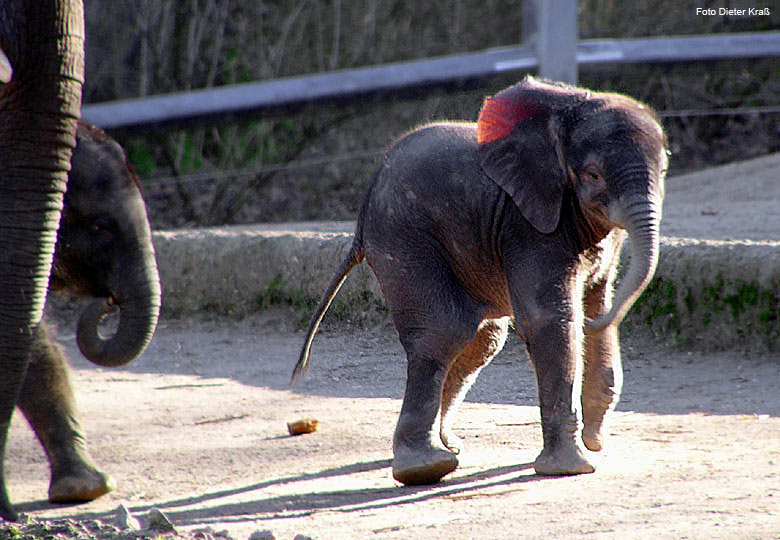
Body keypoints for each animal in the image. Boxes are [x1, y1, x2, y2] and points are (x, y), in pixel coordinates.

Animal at [292, 76, 672, 486]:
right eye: (593, 176)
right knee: (443, 332)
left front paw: (595, 441)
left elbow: (598, 301)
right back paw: (426, 467)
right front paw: (571, 467)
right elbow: (550, 322)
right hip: (403, 238)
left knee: (482, 340)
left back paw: (448, 446)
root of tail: (362, 213)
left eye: (665, 171)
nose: (594, 439)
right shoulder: (527, 226)